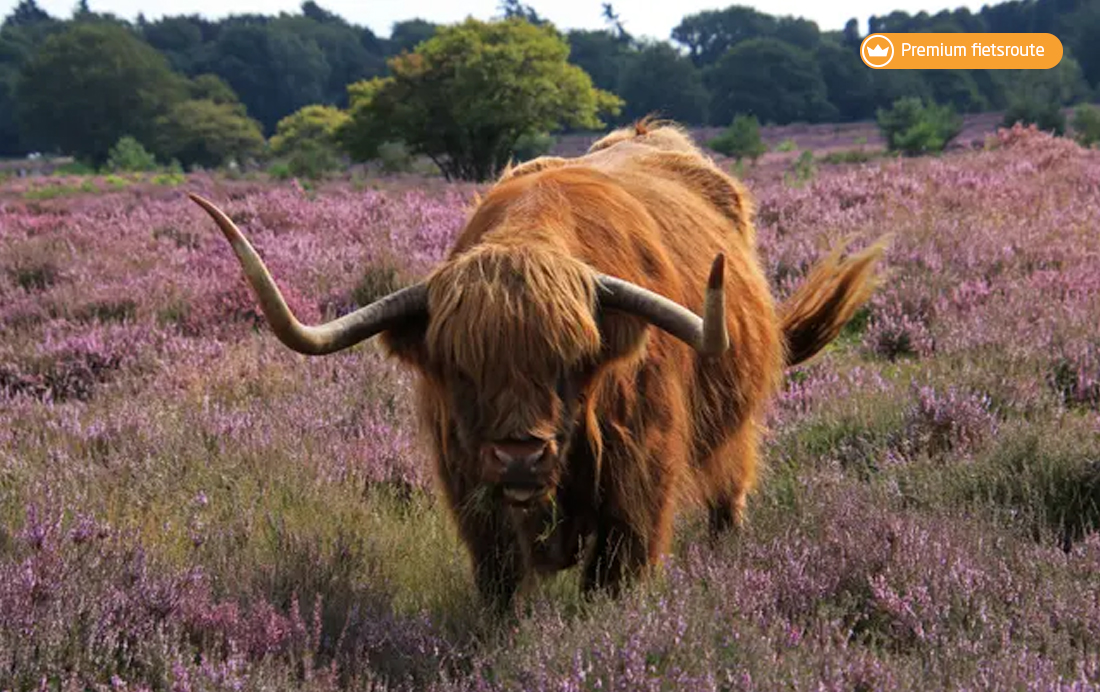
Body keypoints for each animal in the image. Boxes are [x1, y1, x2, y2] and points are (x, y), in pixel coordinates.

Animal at [184, 118, 880, 611]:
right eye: (461, 368)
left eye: (570, 363)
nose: (520, 456)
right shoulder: (469, 482)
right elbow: (498, 578)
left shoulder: (640, 471)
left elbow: (615, 573)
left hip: (733, 429)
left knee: (728, 491)